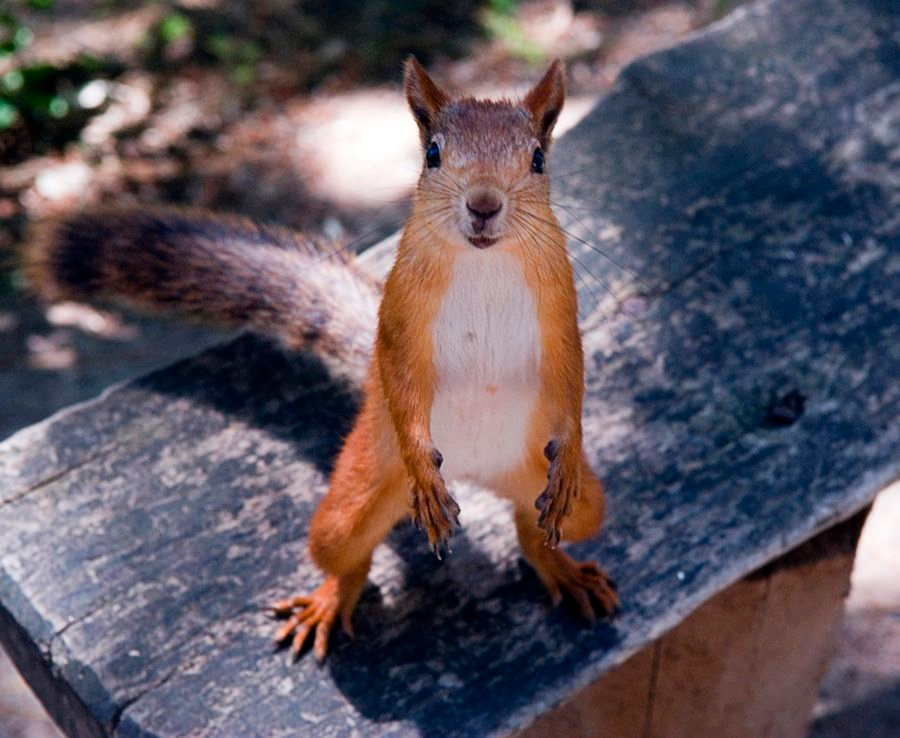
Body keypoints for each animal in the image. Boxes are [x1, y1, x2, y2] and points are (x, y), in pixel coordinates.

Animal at [24, 57, 619, 662]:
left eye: (538, 159)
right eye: (432, 154)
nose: (483, 205)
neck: (484, 263)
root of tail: (475, 473)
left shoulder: (560, 314)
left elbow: (571, 378)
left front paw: (570, 450)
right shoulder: (400, 320)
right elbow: (402, 375)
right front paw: (421, 462)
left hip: (564, 494)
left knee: (536, 527)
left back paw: (561, 564)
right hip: (359, 488)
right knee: (345, 554)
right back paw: (333, 597)